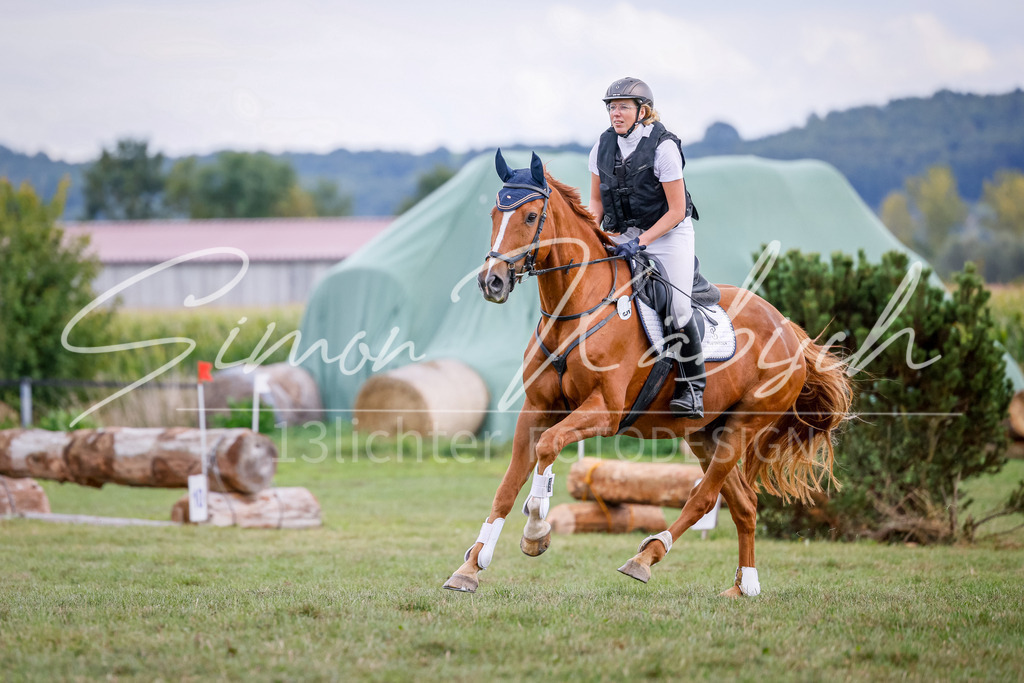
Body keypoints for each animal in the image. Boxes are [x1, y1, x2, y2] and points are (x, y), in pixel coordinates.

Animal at [443, 151, 851, 597]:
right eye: (493, 214)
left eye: (531, 216)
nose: (492, 282)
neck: (575, 310)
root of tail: (790, 330)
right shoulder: (536, 409)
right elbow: (507, 486)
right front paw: (470, 567)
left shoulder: (604, 412)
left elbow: (548, 449)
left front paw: (536, 532)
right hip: (705, 432)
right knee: (743, 504)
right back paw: (744, 586)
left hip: (743, 426)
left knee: (704, 499)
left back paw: (645, 558)